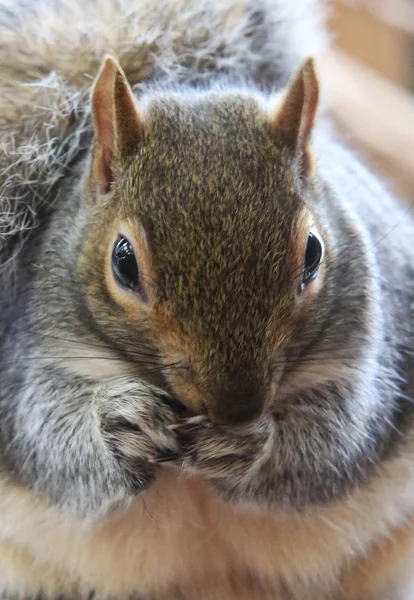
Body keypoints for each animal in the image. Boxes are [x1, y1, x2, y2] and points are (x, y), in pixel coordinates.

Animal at [0, 0, 414, 596]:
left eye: (313, 253)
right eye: (123, 262)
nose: (237, 409)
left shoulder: (369, 352)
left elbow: (336, 439)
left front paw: (251, 446)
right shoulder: (28, 355)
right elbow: (45, 436)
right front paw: (117, 423)